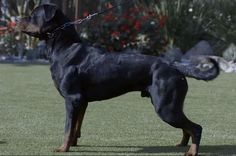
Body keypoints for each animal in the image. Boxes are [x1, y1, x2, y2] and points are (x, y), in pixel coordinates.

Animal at [17, 4, 219, 155]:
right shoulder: (81, 102)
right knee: (187, 127)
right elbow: (76, 127)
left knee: (196, 128)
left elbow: (68, 127)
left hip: (165, 107)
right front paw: (73, 144)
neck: (64, 47)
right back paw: (182, 144)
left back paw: (191, 151)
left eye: (33, 15)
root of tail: (174, 65)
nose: (17, 19)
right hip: (172, 105)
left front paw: (62, 148)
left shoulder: (71, 99)